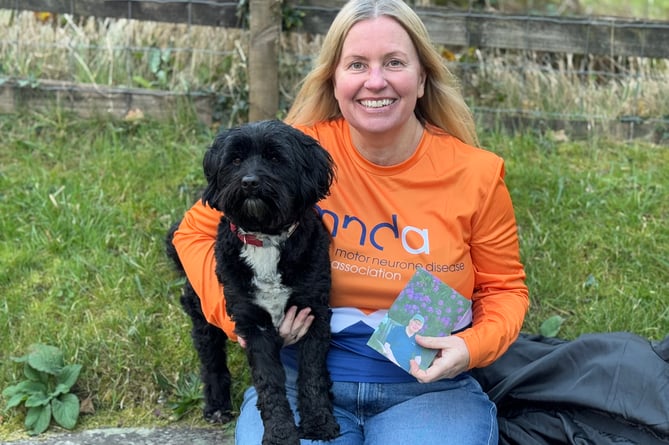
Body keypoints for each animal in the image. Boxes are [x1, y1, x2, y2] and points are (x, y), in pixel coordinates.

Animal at [162, 119, 340, 442]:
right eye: (235, 160)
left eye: (275, 157)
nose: (249, 182)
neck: (265, 238)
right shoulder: (253, 325)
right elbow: (269, 384)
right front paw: (281, 434)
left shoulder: (314, 313)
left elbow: (312, 374)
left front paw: (318, 421)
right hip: (201, 315)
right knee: (211, 360)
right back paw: (217, 404)